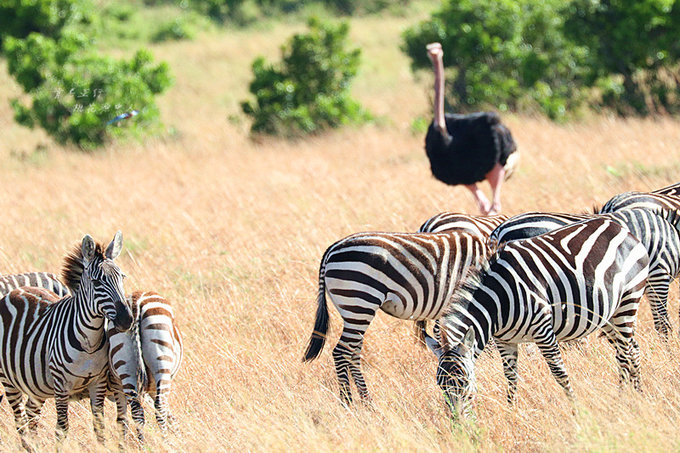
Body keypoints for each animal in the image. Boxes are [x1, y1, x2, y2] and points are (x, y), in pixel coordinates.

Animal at [0, 231, 133, 450]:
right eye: (96, 282)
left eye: (122, 278)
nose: (126, 320)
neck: (89, 342)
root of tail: (16, 291)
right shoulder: (61, 385)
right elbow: (61, 429)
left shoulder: (98, 382)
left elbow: (99, 426)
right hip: (9, 379)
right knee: (20, 420)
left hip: (36, 384)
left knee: (31, 413)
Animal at [108, 290, 183, 442]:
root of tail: (136, 301)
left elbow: (122, 419)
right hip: (161, 363)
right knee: (160, 407)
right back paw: (165, 442)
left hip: (126, 368)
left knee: (137, 410)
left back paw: (142, 443)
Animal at [302, 230, 488, 402]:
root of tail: (332, 249)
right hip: (360, 301)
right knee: (341, 352)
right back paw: (348, 403)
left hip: (354, 311)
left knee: (353, 353)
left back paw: (368, 404)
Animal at [422, 218, 652, 416]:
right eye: (440, 386)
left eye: (466, 385)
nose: (458, 425)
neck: (498, 302)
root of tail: (622, 229)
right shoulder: (505, 340)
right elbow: (511, 376)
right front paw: (511, 412)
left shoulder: (543, 331)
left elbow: (559, 373)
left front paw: (576, 412)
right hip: (608, 315)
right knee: (629, 351)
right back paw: (630, 396)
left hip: (627, 302)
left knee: (627, 352)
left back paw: (630, 397)